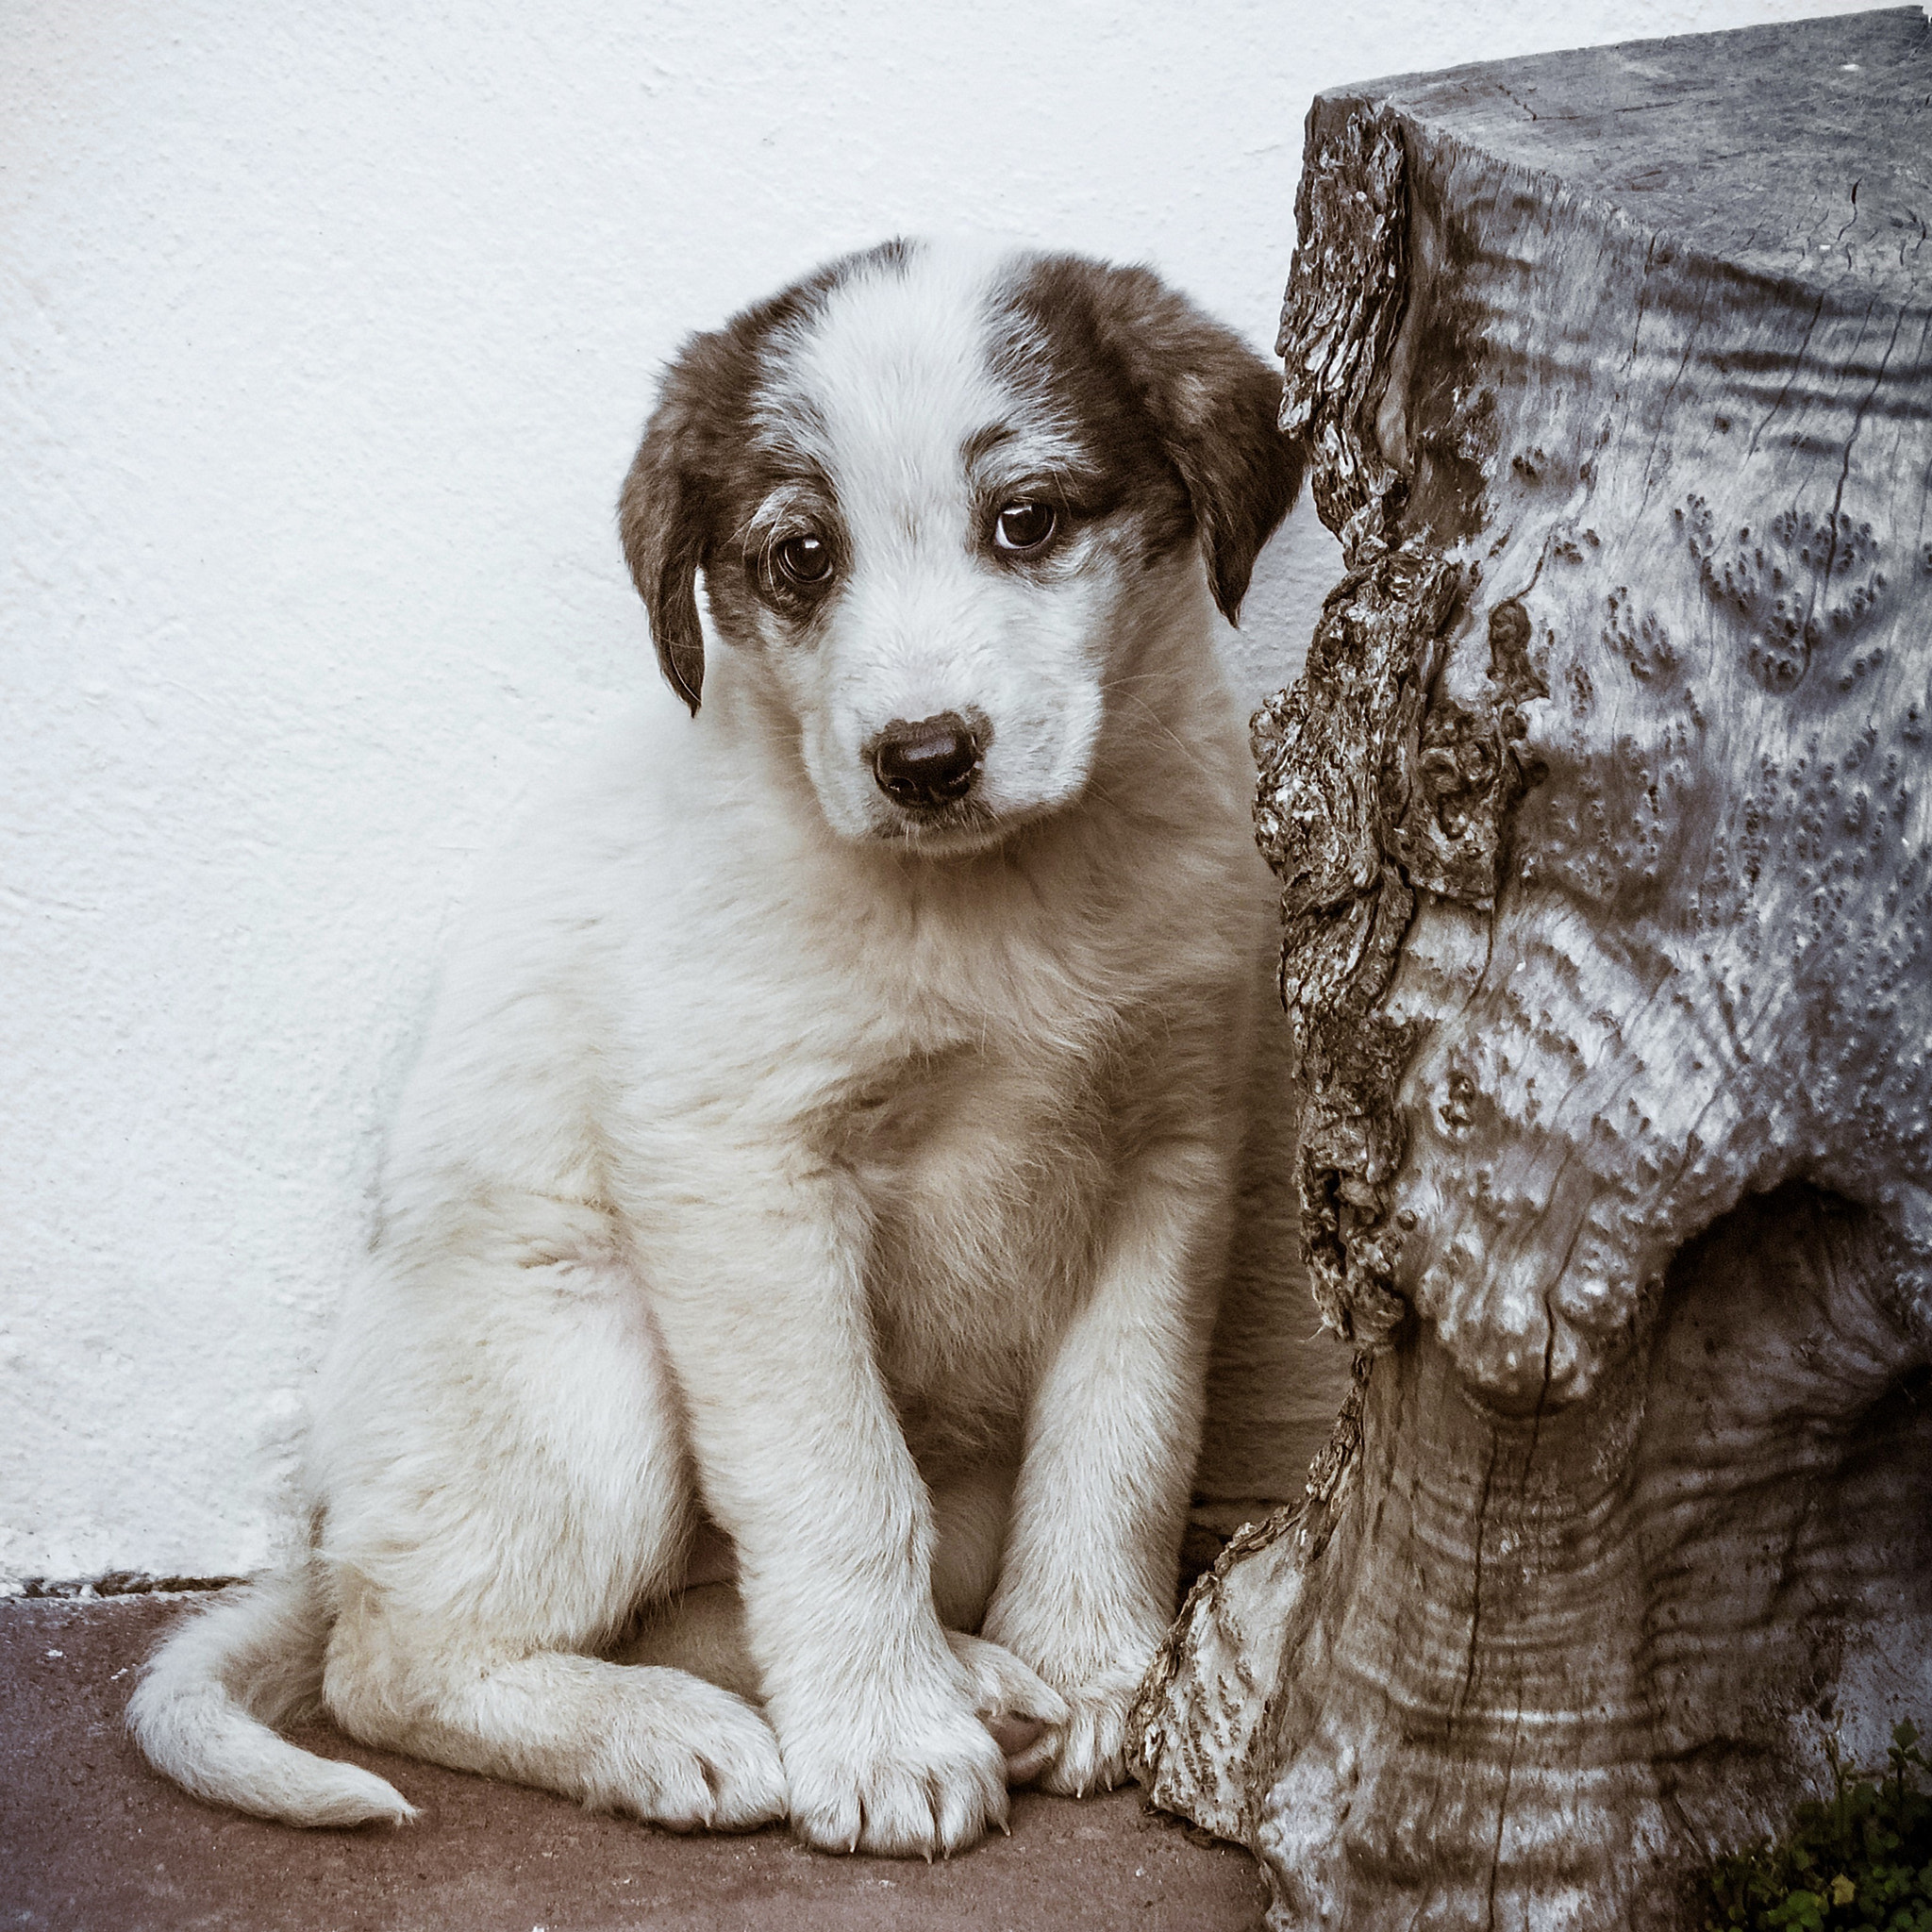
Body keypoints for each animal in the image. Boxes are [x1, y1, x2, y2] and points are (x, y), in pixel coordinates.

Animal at [128, 237, 1306, 1855]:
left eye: (1028, 521)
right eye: (801, 556)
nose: (923, 760)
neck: (990, 904)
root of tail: (333, 1532)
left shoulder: (1169, 1156)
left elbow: (1120, 1440)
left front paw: (1090, 1666)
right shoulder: (744, 1176)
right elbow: (840, 1485)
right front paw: (886, 1744)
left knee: (696, 1593)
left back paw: (980, 1678)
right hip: (592, 1358)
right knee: (396, 1664)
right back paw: (671, 1733)